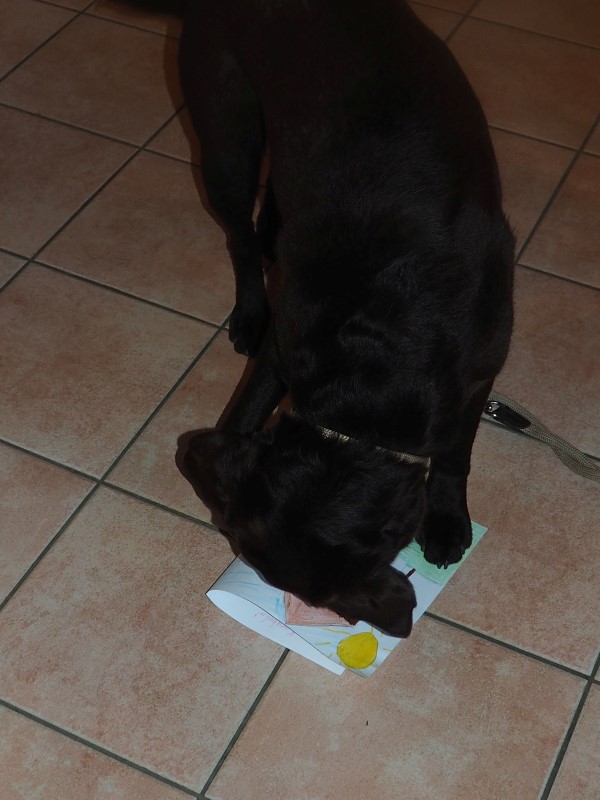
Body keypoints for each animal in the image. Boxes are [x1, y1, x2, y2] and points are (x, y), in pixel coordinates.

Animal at [178, 0, 515, 637]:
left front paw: (446, 517)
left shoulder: (479, 371)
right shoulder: (284, 348)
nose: (185, 452)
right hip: (226, 136)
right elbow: (248, 406)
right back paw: (248, 308)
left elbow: (455, 452)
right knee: (239, 237)